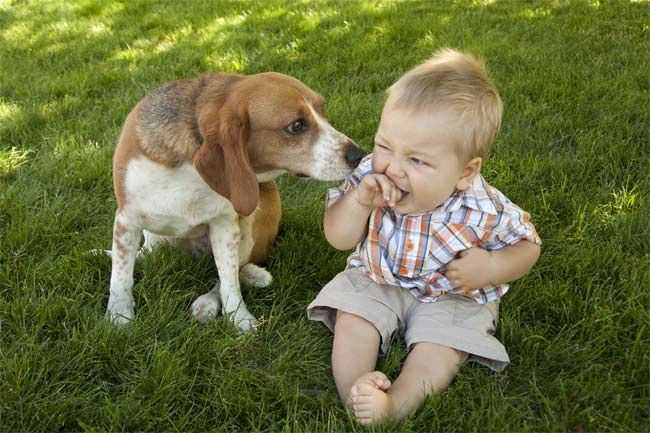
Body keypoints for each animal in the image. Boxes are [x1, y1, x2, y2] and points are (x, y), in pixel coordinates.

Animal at [104, 72, 362, 332]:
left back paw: (208, 302)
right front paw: (119, 315)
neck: (192, 168)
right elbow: (121, 276)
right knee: (146, 251)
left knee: (233, 271)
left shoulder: (225, 225)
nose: (358, 155)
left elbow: (229, 279)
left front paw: (239, 317)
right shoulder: (127, 219)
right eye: (297, 126)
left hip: (250, 220)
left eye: (322, 109)